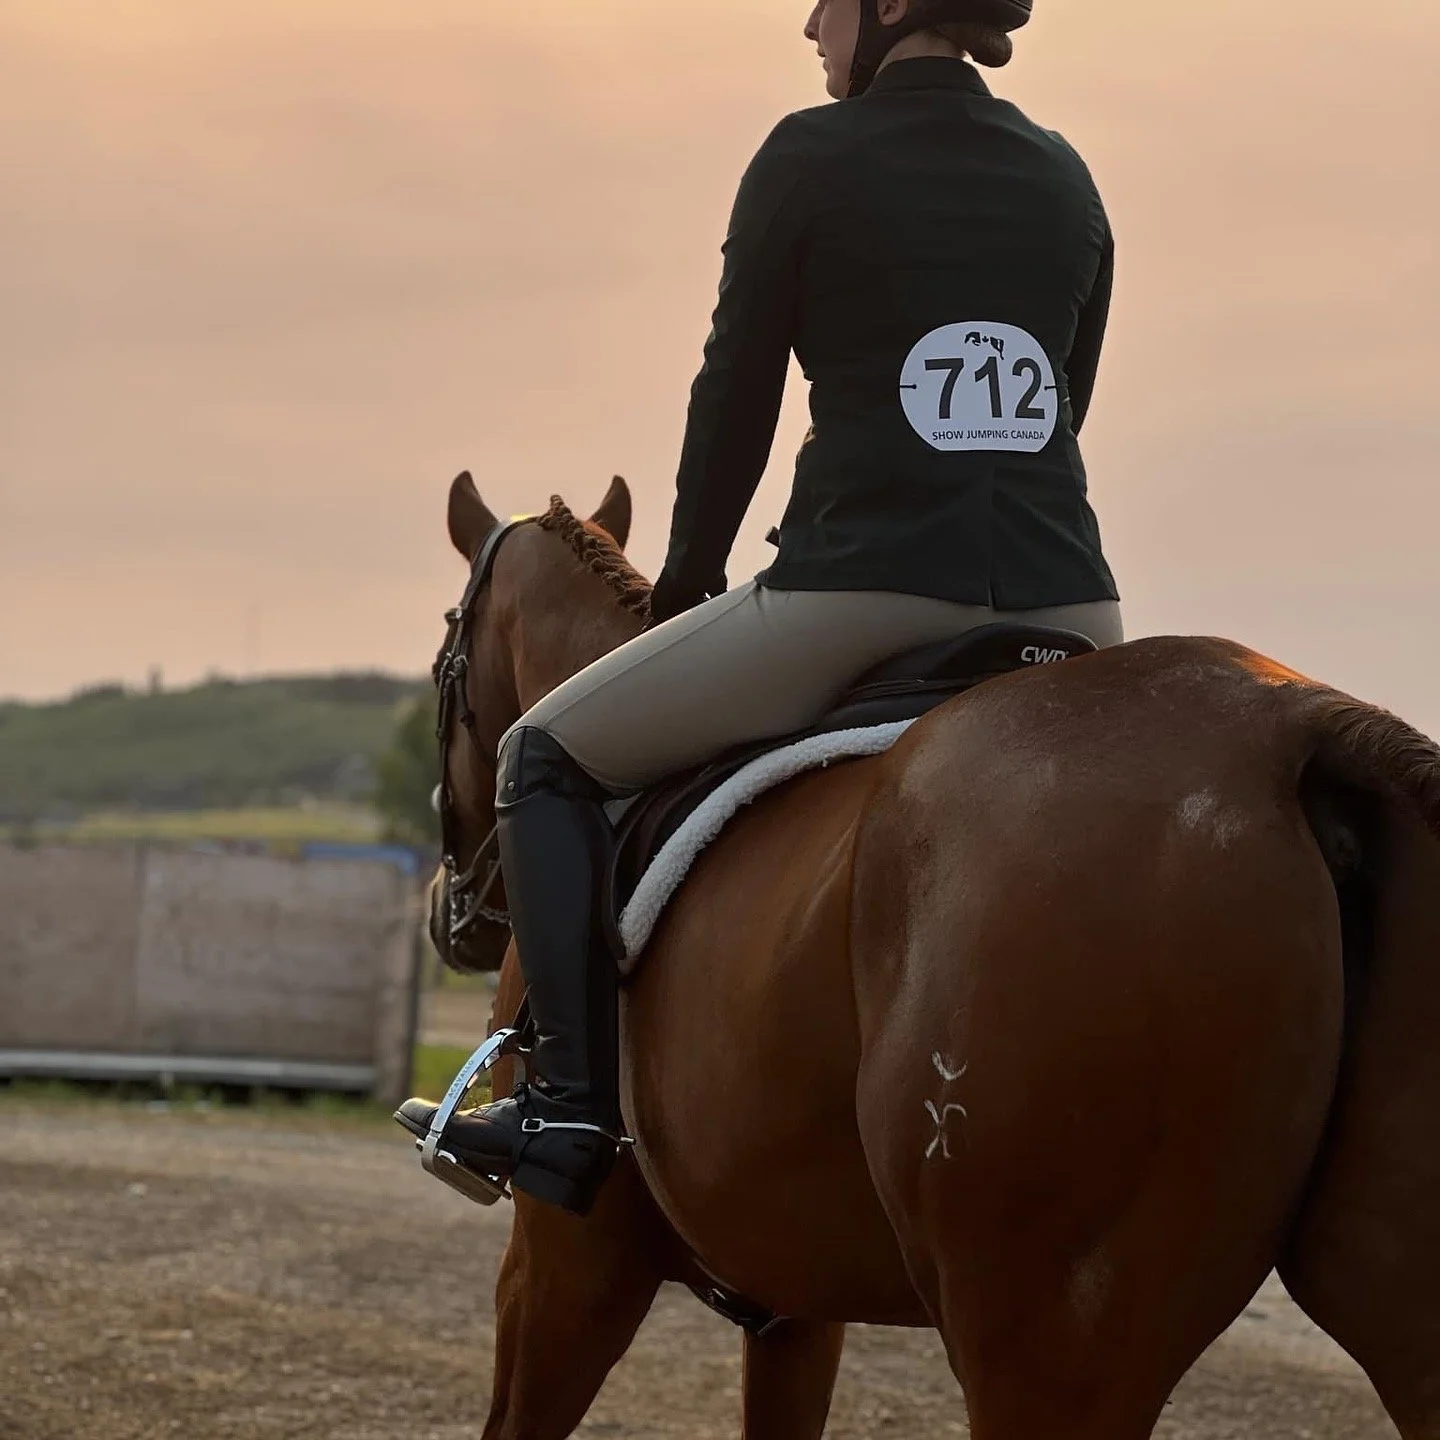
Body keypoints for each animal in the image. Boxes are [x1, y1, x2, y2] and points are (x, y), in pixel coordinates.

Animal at [426, 468, 1440, 1440]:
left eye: (444, 657)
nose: (450, 915)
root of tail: (1289, 732)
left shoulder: (566, 1263)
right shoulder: (797, 1307)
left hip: (1047, 1345)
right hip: (1386, 1304)